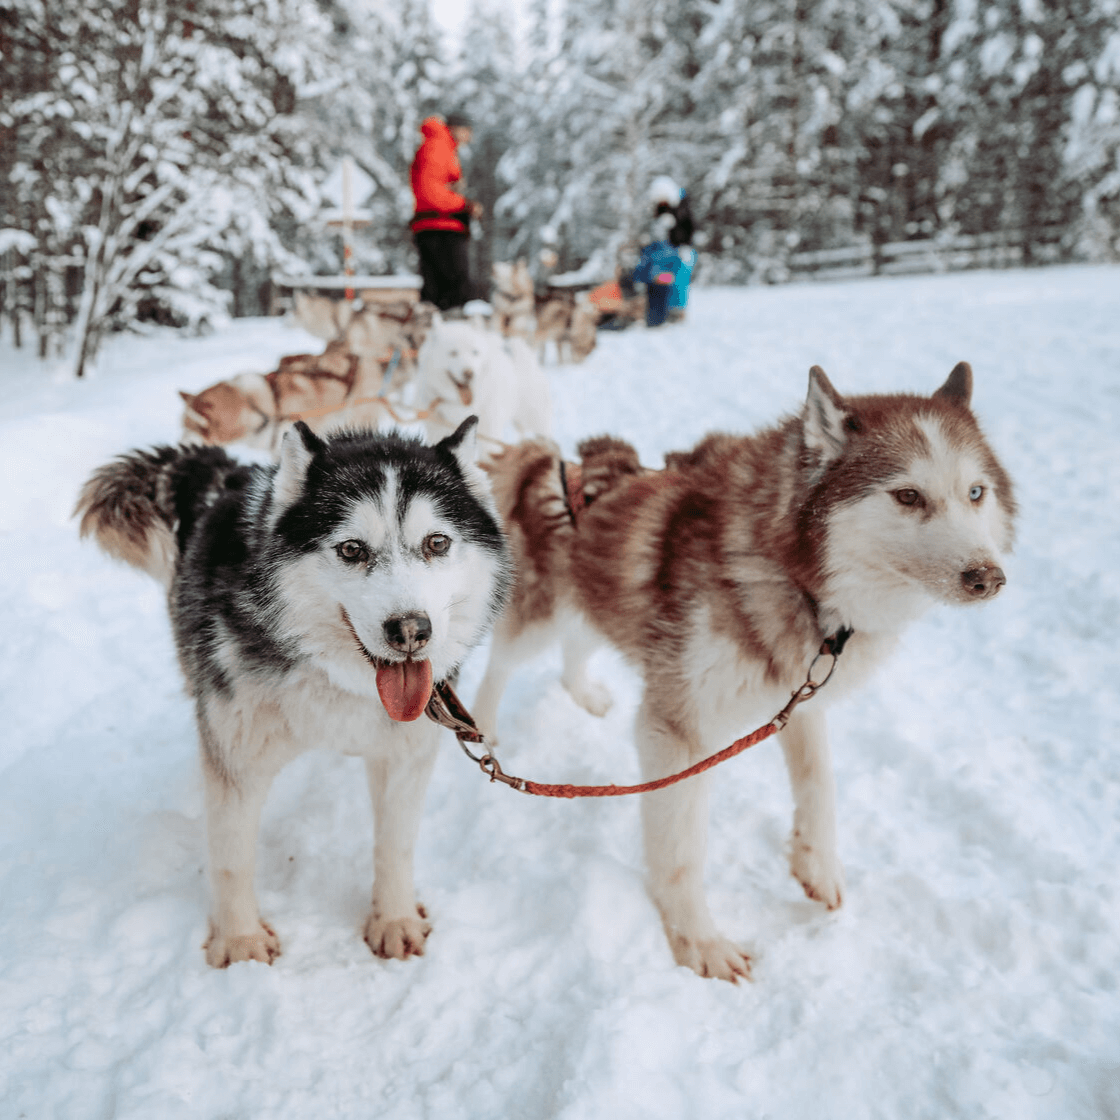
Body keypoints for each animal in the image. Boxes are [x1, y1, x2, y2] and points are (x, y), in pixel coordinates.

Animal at [416, 315, 551, 445]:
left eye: (475, 352)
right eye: (453, 353)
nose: (469, 373)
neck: (460, 404)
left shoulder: (490, 436)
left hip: (536, 421)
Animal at [472, 365, 1016, 981]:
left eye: (976, 492)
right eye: (907, 495)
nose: (988, 577)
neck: (796, 578)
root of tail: (551, 461)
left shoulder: (799, 689)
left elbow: (819, 783)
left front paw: (817, 864)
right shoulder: (676, 732)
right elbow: (683, 851)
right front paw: (697, 944)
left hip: (595, 600)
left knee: (577, 643)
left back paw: (583, 692)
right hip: (539, 617)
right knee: (499, 663)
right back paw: (484, 728)